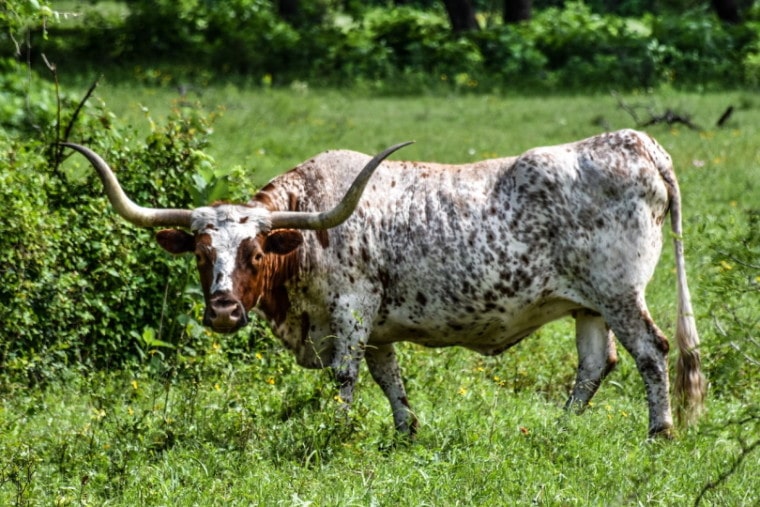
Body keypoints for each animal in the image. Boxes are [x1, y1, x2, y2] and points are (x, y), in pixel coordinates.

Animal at [63, 131, 708, 440]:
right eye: (201, 252)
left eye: (253, 250)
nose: (222, 310)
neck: (310, 231)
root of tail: (637, 142)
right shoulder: (377, 327)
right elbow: (387, 376)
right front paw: (405, 431)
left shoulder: (350, 311)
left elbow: (346, 377)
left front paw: (338, 432)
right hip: (586, 305)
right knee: (596, 364)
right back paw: (559, 428)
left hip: (620, 294)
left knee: (652, 353)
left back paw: (659, 432)